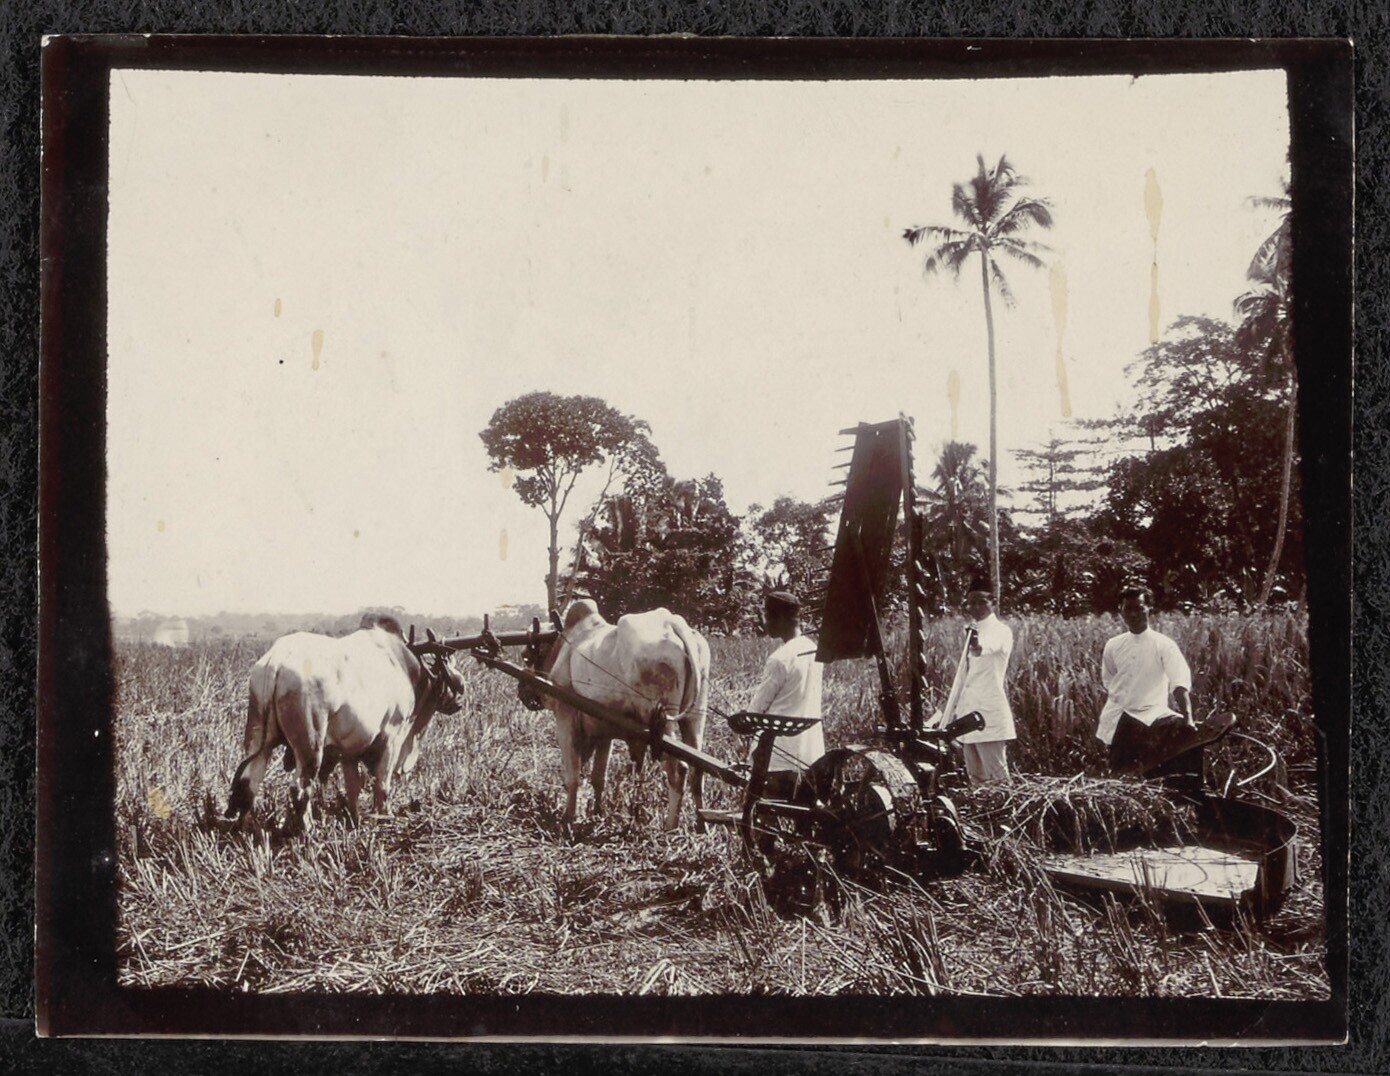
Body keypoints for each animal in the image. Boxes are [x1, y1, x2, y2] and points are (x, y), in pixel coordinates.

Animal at [225, 614, 465, 832]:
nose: (459, 700)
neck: (405, 665)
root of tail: (277, 660)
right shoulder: (393, 736)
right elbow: (382, 784)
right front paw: (384, 817)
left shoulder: (350, 749)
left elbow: (353, 788)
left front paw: (355, 820)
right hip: (311, 743)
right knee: (300, 787)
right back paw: (307, 830)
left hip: (258, 736)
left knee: (249, 782)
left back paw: (246, 828)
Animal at [542, 599, 710, 831]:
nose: (523, 693)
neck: (566, 644)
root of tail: (672, 622)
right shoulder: (604, 731)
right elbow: (598, 777)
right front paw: (597, 813)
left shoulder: (565, 716)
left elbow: (573, 776)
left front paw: (568, 818)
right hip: (694, 717)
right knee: (697, 769)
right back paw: (702, 826)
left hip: (663, 723)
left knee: (678, 770)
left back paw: (670, 827)